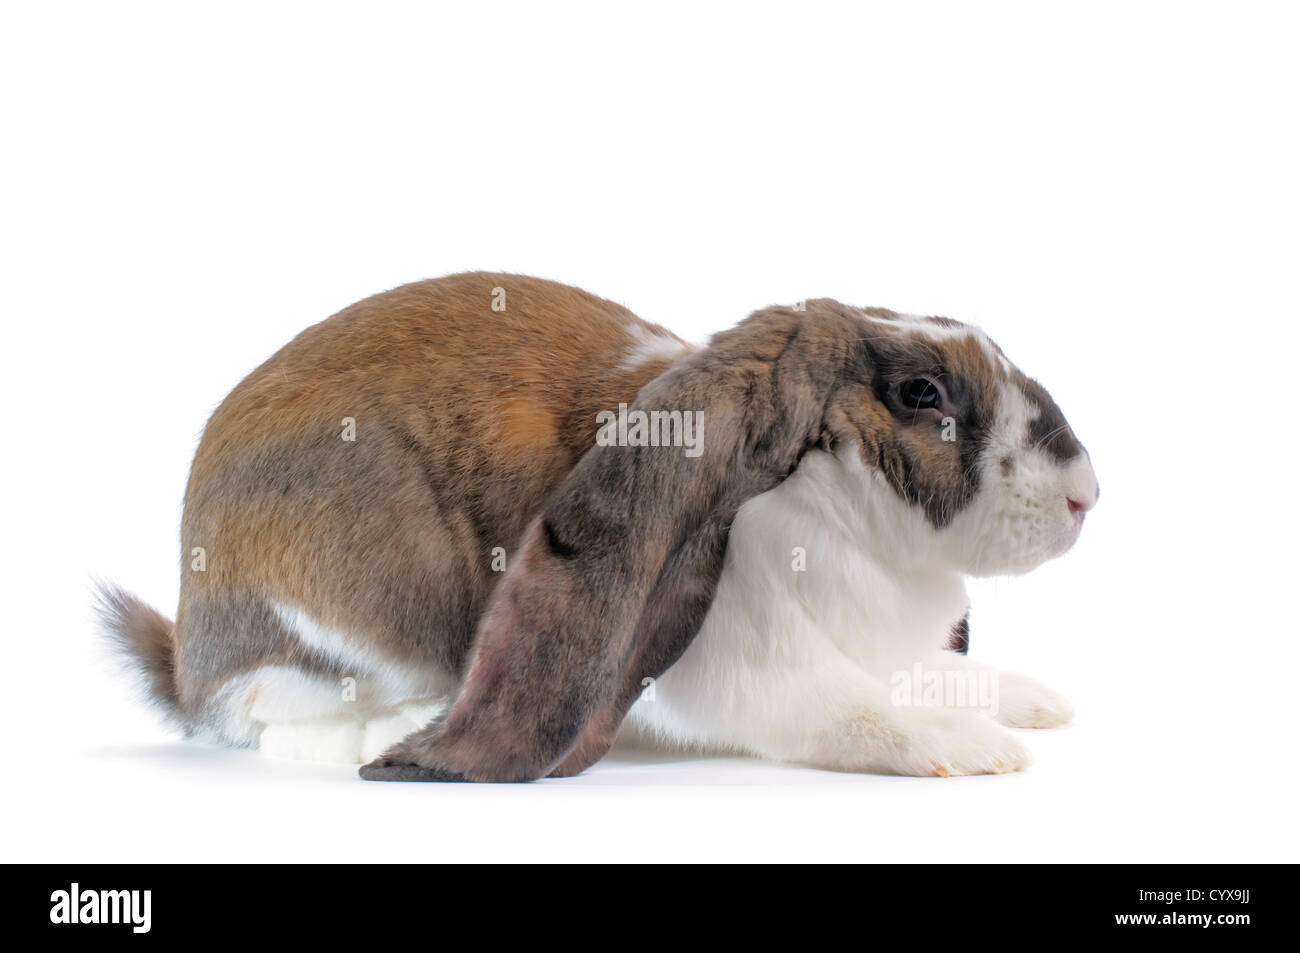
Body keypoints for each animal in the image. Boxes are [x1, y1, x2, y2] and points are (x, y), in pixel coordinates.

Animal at [99, 271, 1098, 781]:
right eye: (923, 394)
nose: (1086, 493)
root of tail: (189, 650)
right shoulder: (755, 660)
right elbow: (853, 710)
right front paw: (972, 750)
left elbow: (926, 674)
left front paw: (1035, 702)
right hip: (367, 601)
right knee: (265, 711)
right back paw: (390, 730)